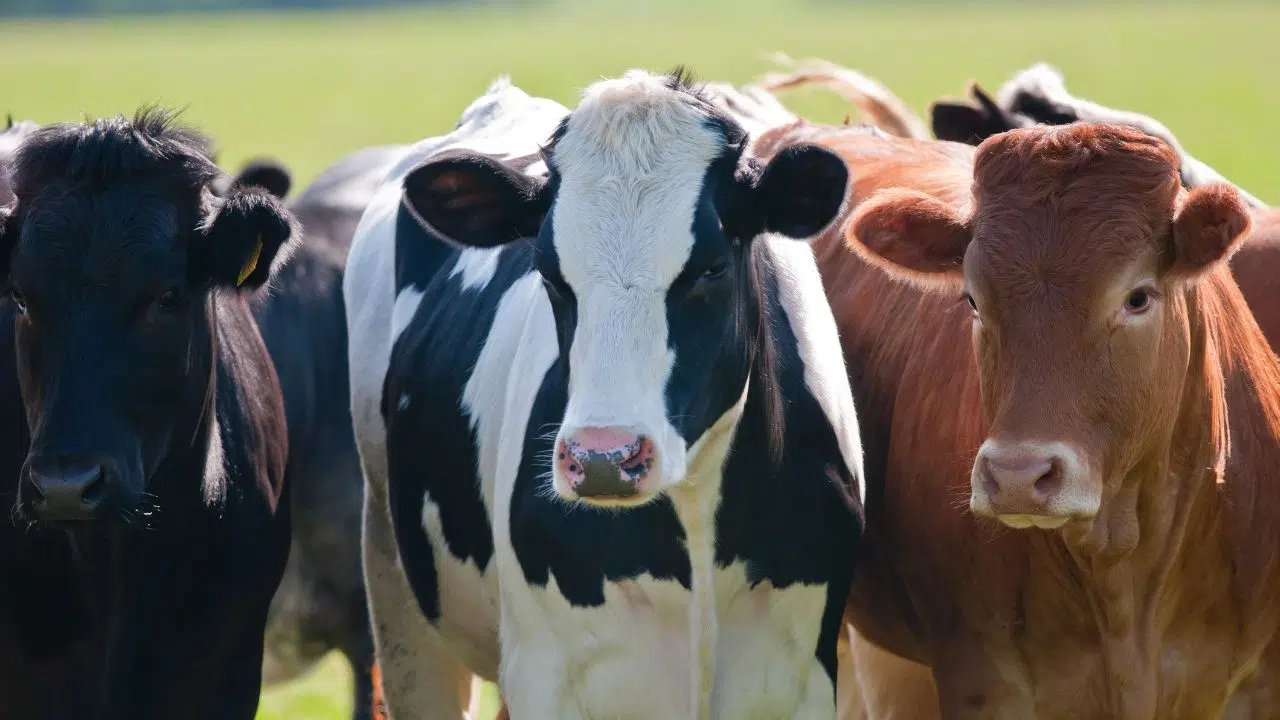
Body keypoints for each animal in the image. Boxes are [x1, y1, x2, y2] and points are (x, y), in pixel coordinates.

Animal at [343, 68, 865, 718]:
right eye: (548, 272)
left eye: (712, 268)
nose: (603, 458)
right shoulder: (548, 677)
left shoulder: (802, 678)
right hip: (397, 596)